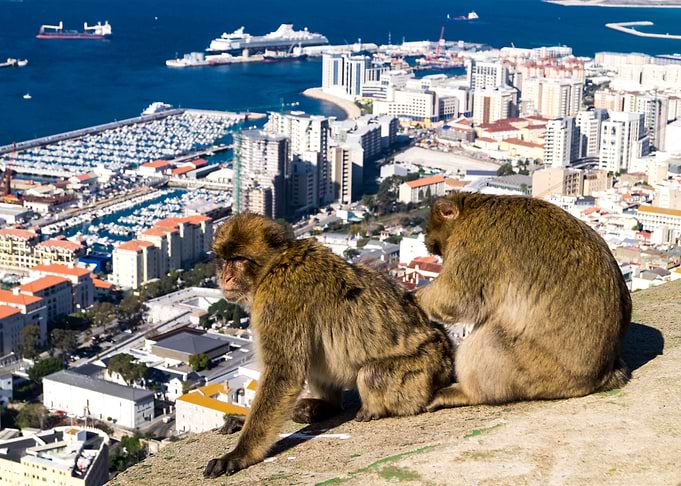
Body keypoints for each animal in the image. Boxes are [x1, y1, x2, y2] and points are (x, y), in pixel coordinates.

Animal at [203, 213, 455, 478]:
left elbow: (284, 374)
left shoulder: (279, 298)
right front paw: (243, 420)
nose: (225, 277)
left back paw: (371, 409)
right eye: (224, 260)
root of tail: (447, 352)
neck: (274, 266)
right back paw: (321, 407)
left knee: (370, 374)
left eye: (239, 260)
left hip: (425, 370)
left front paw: (239, 454)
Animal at [416, 192, 631, 411]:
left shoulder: (475, 245)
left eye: (439, 247)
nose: (442, 260)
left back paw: (467, 394)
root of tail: (603, 376)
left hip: (540, 372)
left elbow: (454, 298)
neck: (472, 211)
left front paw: (416, 297)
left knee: (491, 338)